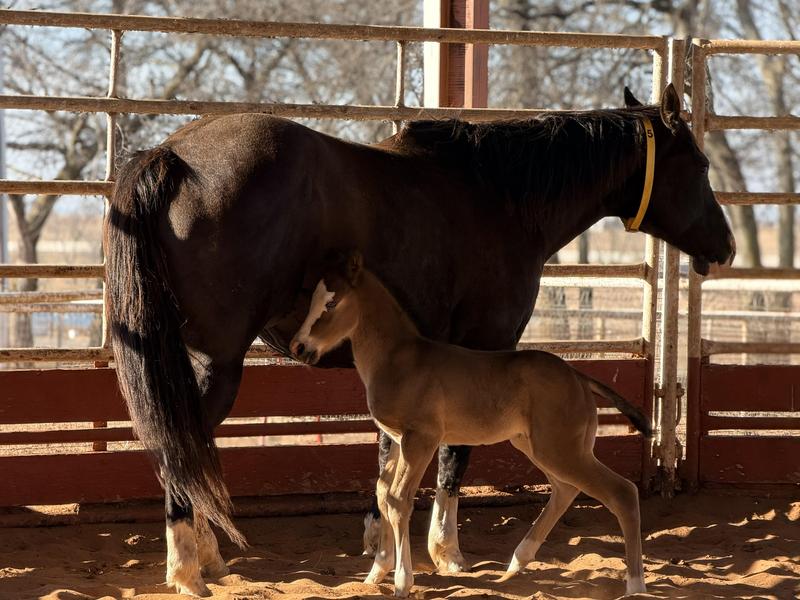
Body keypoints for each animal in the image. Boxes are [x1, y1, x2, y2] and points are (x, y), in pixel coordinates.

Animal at [290, 249, 653, 597]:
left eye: (332, 303)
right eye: (312, 299)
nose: (299, 346)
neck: (398, 358)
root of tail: (579, 376)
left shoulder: (421, 438)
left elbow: (398, 500)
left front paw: (403, 582)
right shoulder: (398, 439)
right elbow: (382, 494)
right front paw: (375, 575)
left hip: (560, 449)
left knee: (622, 492)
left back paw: (635, 586)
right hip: (537, 446)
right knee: (566, 489)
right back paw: (517, 561)